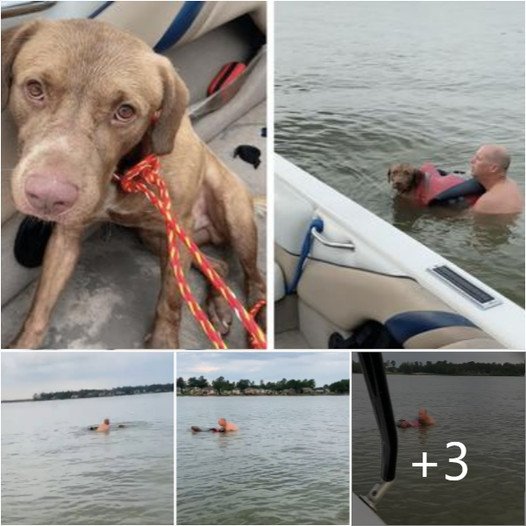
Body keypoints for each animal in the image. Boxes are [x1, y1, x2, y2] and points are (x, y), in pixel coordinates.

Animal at [2, 19, 266, 350]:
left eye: (125, 111)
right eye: (35, 89)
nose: (48, 197)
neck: (125, 172)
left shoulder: (176, 230)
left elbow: (171, 299)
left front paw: (164, 344)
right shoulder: (66, 237)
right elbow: (40, 307)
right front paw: (22, 346)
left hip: (232, 217)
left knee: (254, 279)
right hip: (155, 238)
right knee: (218, 267)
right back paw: (218, 303)